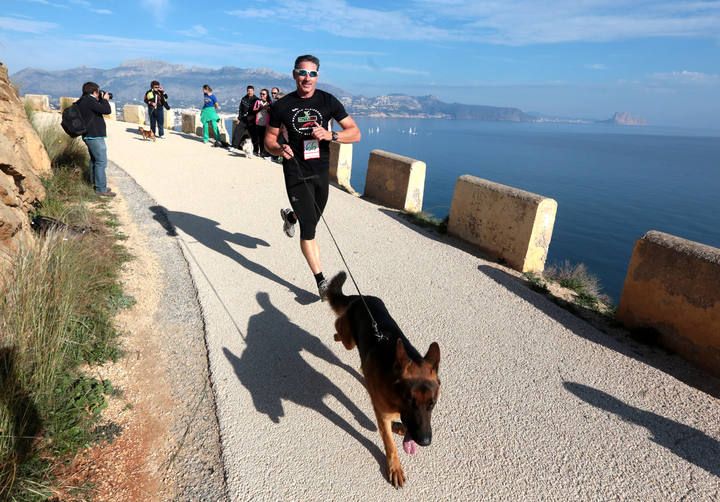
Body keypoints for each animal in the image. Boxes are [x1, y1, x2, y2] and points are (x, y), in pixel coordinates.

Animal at [326, 272, 438, 488]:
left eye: (432, 404)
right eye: (410, 402)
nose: (425, 441)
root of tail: (360, 297)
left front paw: (400, 428)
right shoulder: (384, 415)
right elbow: (389, 444)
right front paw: (395, 467)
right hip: (349, 341)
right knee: (338, 328)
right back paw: (336, 332)